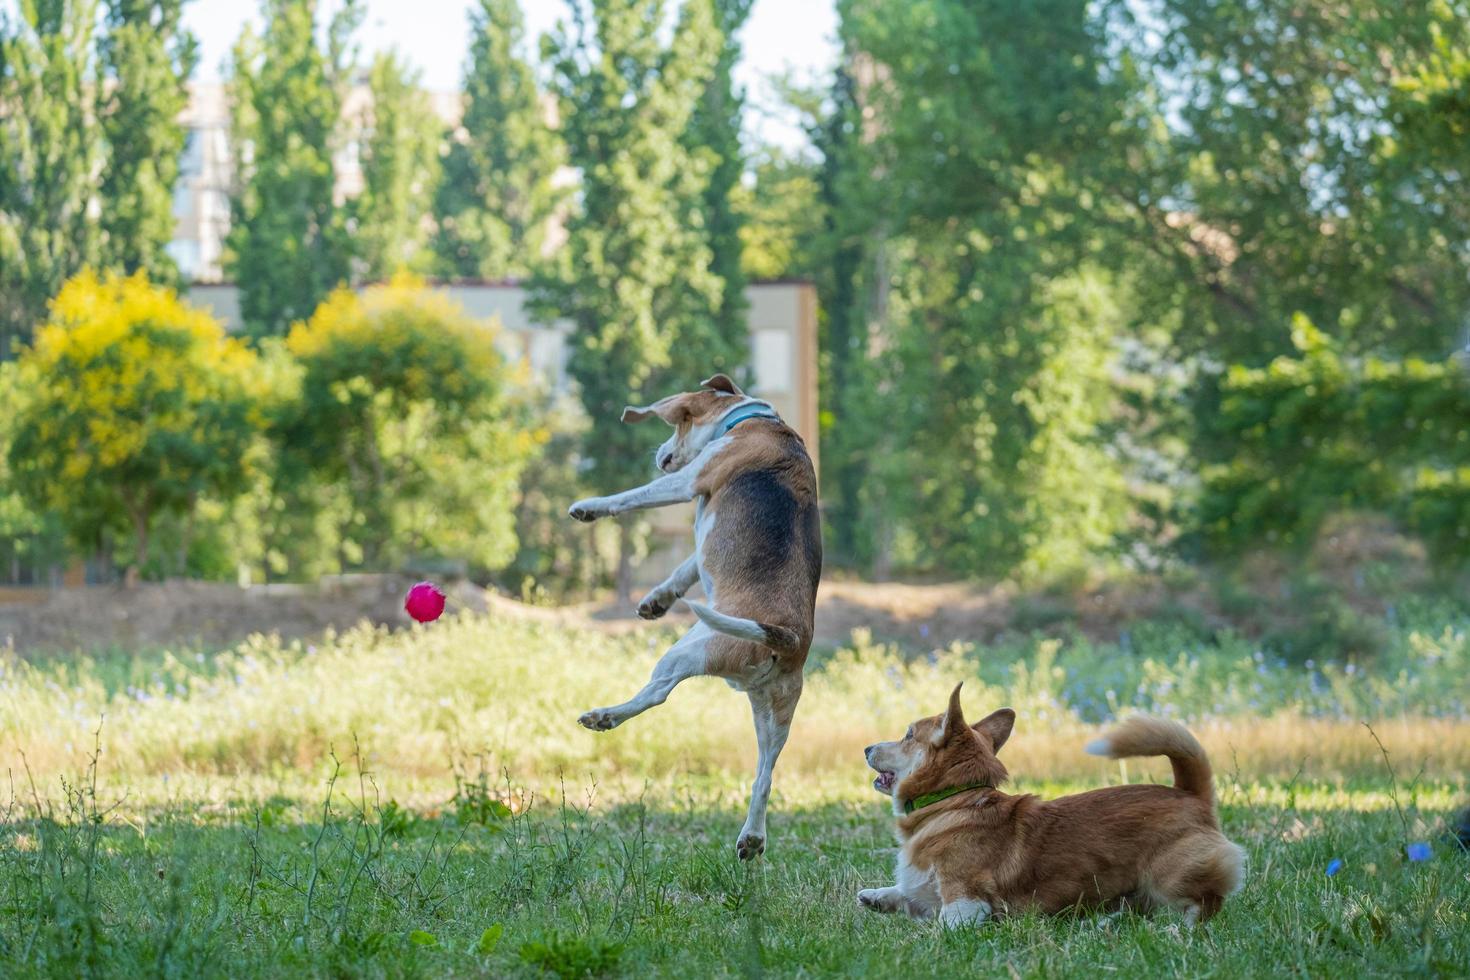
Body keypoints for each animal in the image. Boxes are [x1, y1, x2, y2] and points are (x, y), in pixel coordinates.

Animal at [564, 373, 823, 858]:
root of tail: (787, 636)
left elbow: (632, 497)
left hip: (689, 651)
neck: (756, 421)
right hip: (774, 713)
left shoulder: (689, 481)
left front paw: (589, 506)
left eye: (679, 424)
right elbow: (685, 567)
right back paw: (751, 838)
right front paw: (658, 599)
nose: (660, 453)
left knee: (657, 693)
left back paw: (605, 715)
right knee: (765, 775)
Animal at [858, 681, 1246, 928]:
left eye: (908, 735)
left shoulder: (965, 901)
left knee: (1205, 904)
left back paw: (1178, 931)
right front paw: (875, 897)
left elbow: (944, 926)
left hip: (1169, 874)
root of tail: (1190, 793)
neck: (954, 800)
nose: (866, 747)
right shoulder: (927, 892)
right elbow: (906, 893)